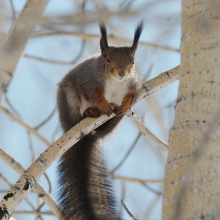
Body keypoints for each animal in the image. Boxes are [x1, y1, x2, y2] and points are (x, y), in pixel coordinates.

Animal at [56, 22, 143, 220]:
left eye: (133, 62)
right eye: (108, 60)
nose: (121, 73)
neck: (115, 82)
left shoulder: (135, 85)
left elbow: (132, 95)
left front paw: (125, 103)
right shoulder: (89, 81)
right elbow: (95, 95)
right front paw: (103, 105)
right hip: (69, 100)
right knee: (77, 113)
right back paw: (91, 111)